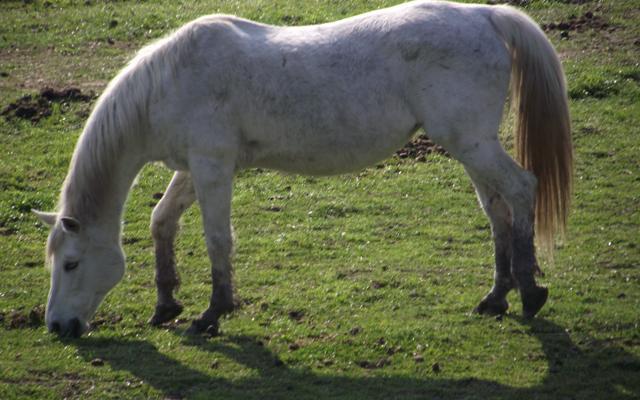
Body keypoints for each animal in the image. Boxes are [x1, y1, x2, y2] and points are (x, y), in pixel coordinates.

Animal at [31, 0, 568, 338]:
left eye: (71, 263)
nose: (58, 327)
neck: (172, 81)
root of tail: (485, 14)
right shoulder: (193, 167)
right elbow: (161, 221)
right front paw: (166, 305)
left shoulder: (213, 166)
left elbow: (217, 239)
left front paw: (212, 314)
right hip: (469, 147)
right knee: (496, 210)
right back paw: (496, 297)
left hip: (472, 144)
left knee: (522, 190)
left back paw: (530, 293)